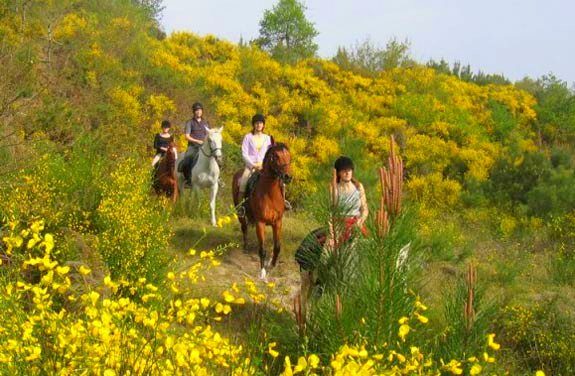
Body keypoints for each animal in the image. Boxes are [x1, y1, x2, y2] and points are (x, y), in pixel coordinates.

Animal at [233, 143, 292, 280]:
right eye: (276, 156)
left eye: (288, 155)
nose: (287, 177)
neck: (270, 194)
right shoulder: (260, 223)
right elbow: (262, 249)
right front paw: (262, 273)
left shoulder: (278, 222)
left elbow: (277, 246)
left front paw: (272, 265)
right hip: (240, 214)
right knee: (244, 228)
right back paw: (245, 247)